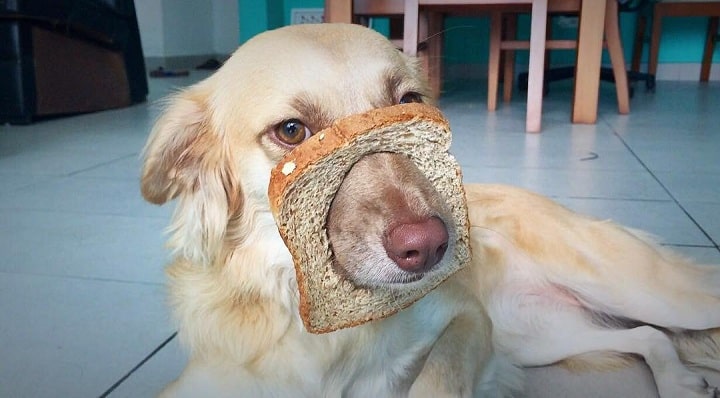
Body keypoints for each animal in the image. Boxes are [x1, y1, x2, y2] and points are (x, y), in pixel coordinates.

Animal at [141, 23, 720, 396]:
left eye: (409, 104)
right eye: (291, 131)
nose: (429, 247)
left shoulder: (466, 320)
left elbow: (436, 379)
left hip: (650, 295)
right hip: (538, 337)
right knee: (646, 336)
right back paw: (677, 381)